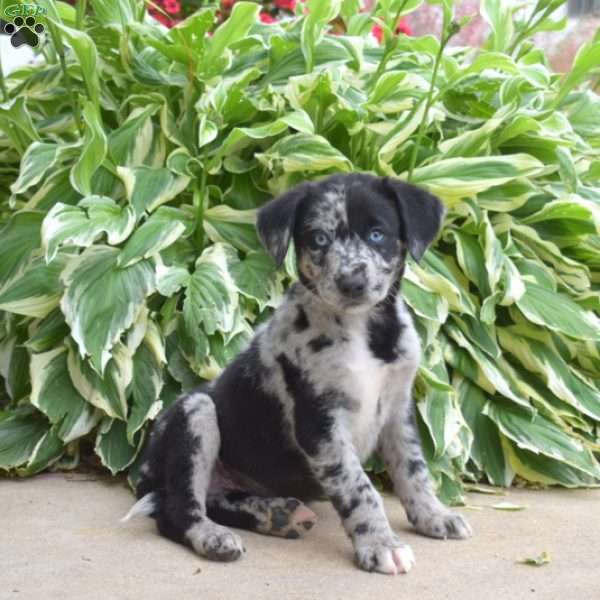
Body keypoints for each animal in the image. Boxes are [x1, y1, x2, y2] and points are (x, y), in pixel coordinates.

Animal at [125, 171, 474, 576]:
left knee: (216, 500)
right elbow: (360, 487)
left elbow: (413, 469)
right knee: (176, 510)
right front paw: (381, 544)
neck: (364, 333)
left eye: (377, 234)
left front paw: (433, 516)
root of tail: (144, 476)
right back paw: (214, 537)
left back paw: (277, 515)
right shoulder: (320, 421)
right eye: (319, 238)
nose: (352, 282)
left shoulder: (397, 408)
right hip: (196, 412)